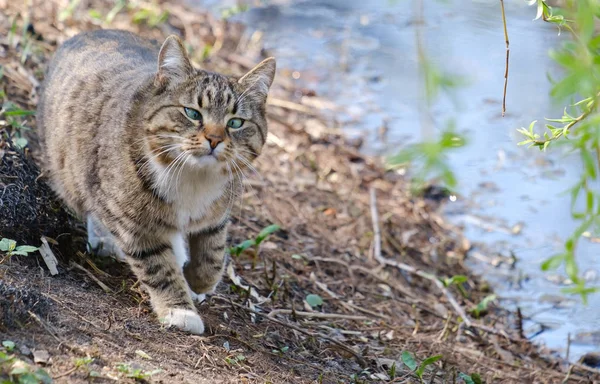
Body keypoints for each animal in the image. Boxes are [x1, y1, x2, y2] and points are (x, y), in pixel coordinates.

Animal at [35, 29, 274, 332]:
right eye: (192, 113)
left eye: (235, 123)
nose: (214, 139)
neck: (193, 176)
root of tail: (87, 32)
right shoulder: (134, 225)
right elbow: (158, 267)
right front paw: (179, 310)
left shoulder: (218, 214)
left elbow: (213, 252)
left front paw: (198, 280)